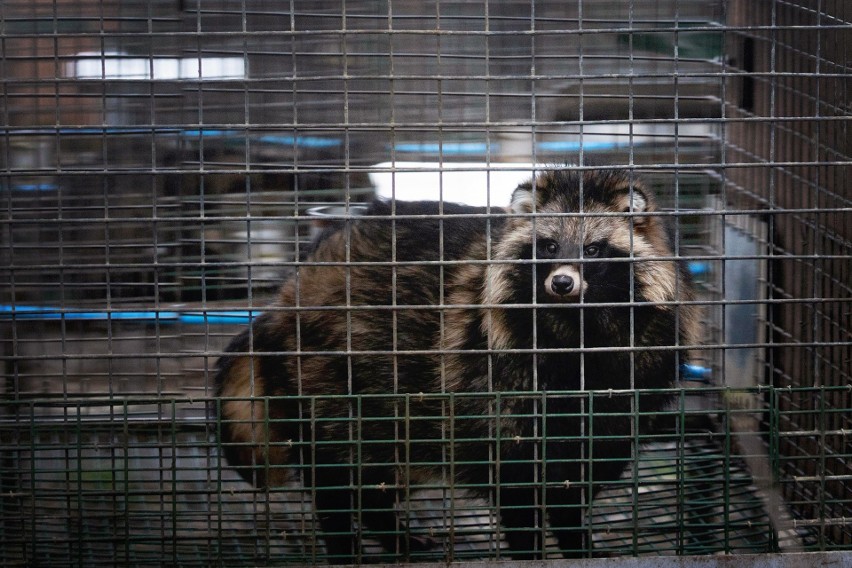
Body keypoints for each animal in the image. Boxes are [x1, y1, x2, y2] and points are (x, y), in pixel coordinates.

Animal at [218, 168, 700, 560]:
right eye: (547, 246)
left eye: (594, 249)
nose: (562, 282)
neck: (577, 330)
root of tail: (287, 295)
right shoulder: (501, 389)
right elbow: (518, 486)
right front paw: (530, 553)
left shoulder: (623, 394)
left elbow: (574, 487)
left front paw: (579, 545)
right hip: (331, 381)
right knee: (339, 477)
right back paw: (344, 542)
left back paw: (390, 531)